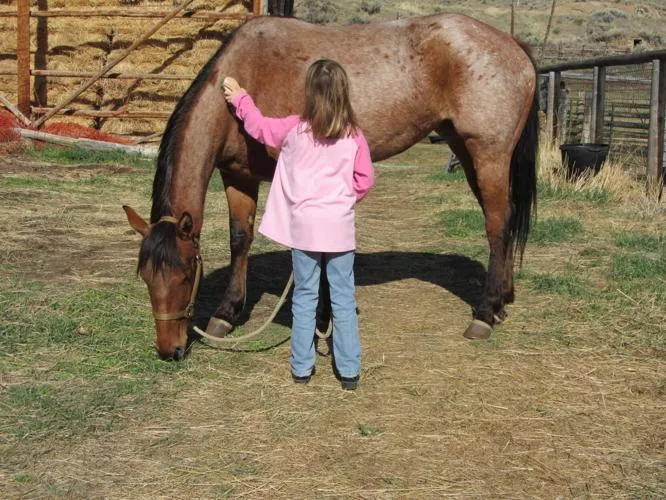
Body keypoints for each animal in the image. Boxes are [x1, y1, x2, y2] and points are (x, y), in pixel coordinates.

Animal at [123, 13, 538, 361]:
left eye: (184, 274)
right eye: (145, 276)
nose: (169, 350)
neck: (248, 72)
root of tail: (514, 44)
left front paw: (320, 316)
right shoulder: (237, 175)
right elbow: (240, 238)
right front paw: (227, 313)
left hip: (488, 154)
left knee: (497, 225)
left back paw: (484, 313)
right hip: (466, 151)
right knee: (504, 218)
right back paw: (502, 300)